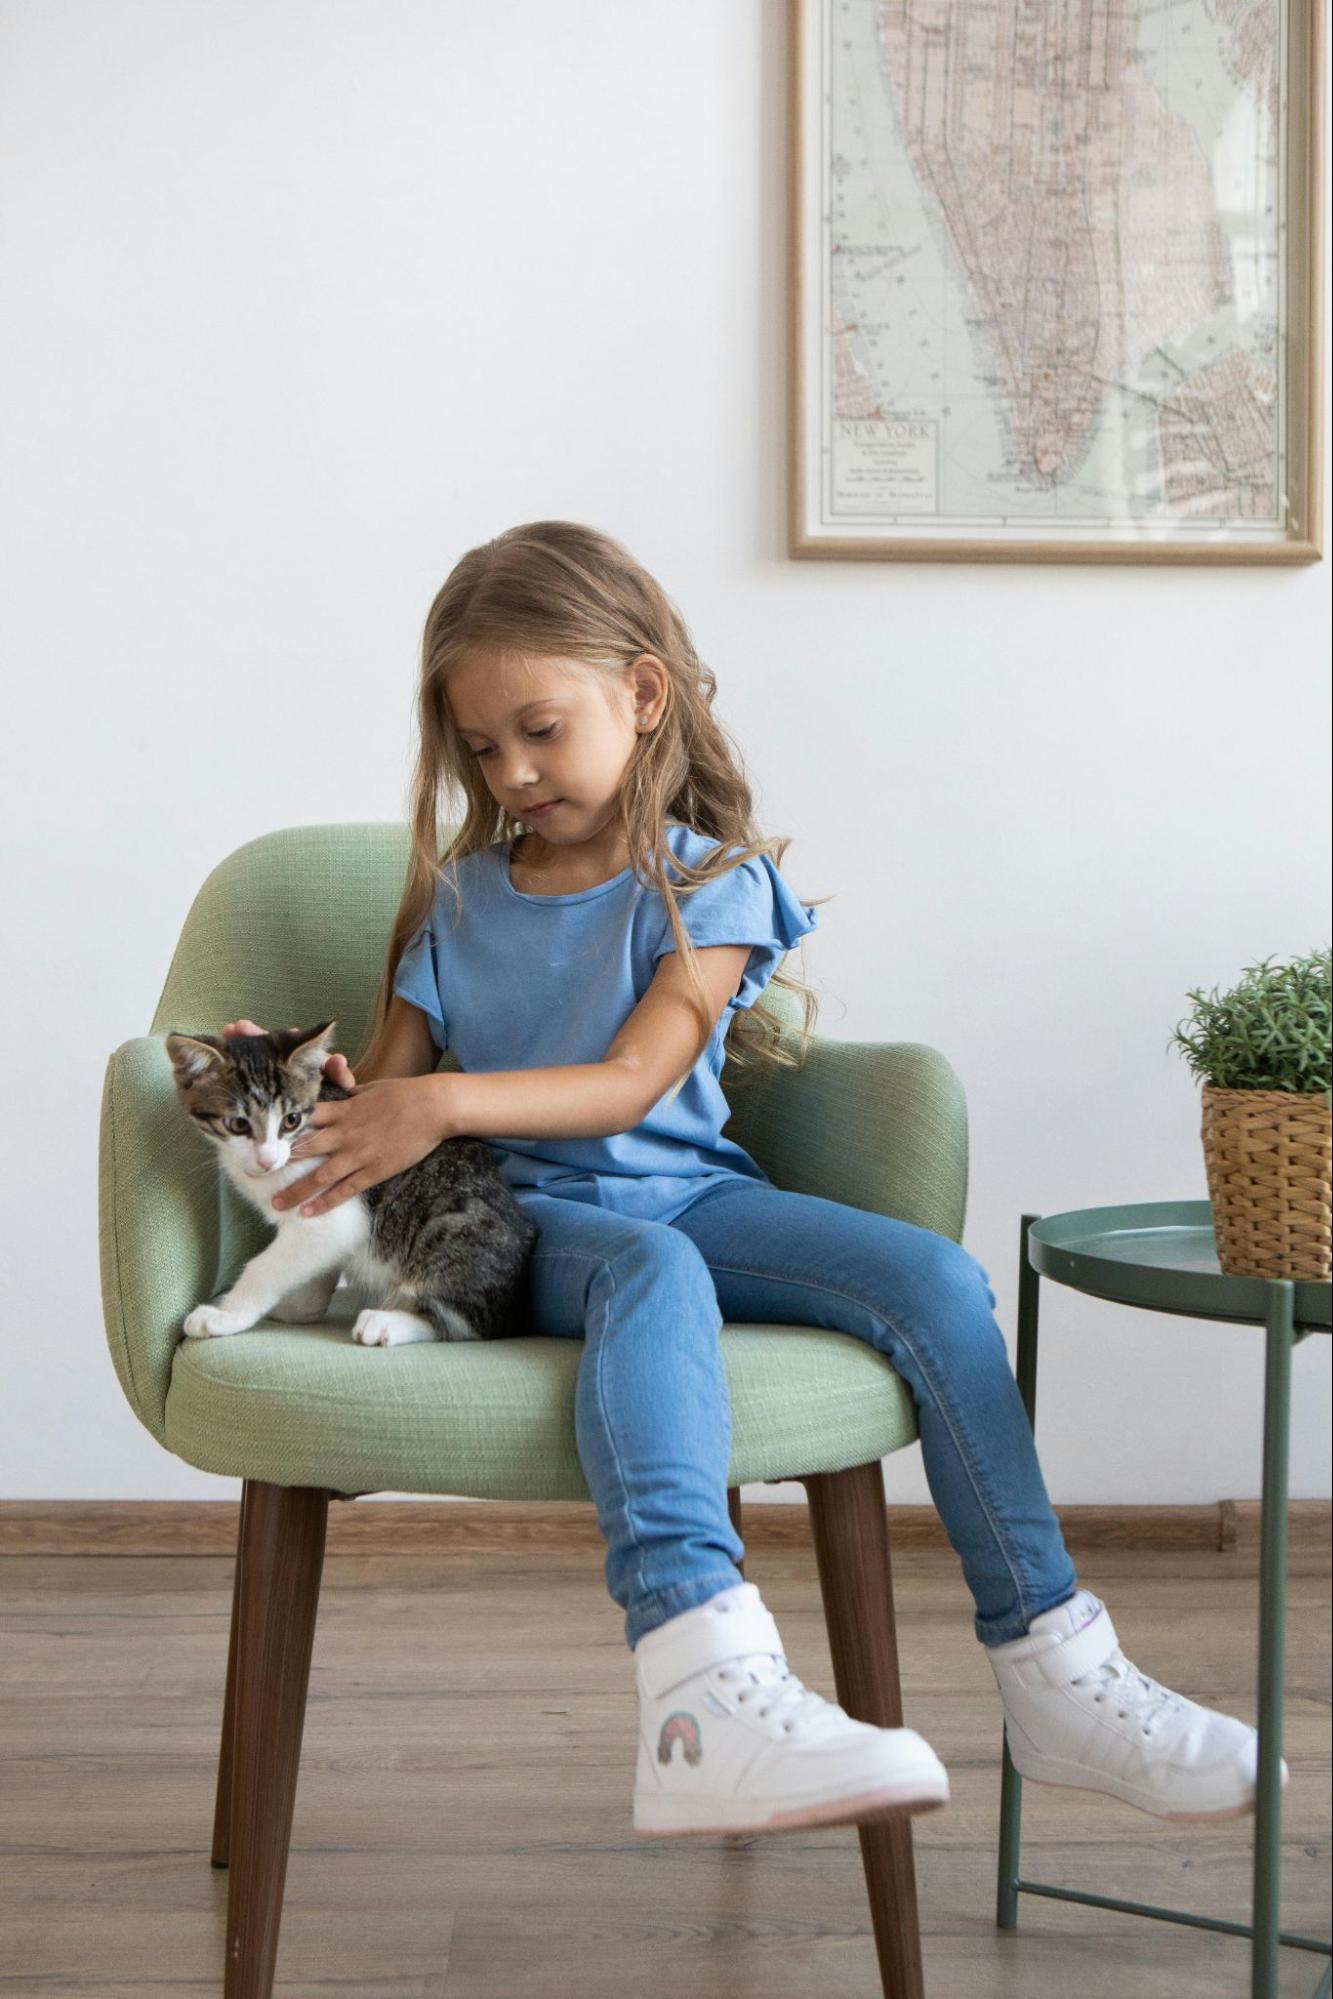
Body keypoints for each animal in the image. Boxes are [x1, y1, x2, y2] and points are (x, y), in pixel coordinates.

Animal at [166, 1023, 535, 1351]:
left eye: (291, 1120)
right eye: (238, 1124)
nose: (268, 1160)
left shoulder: (333, 1211)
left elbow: (267, 1266)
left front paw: (226, 1315)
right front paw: (300, 1307)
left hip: (454, 1226)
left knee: (471, 1322)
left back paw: (387, 1322)